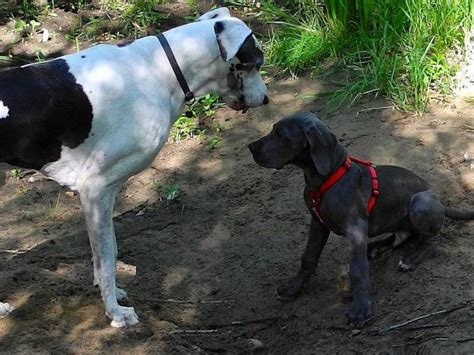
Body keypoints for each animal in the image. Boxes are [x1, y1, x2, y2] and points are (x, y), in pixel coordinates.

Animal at [0, 6, 266, 328]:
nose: (267, 98)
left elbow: (107, 251)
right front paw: (115, 312)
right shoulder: (96, 189)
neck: (158, 69)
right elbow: (107, 260)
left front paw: (113, 294)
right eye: (256, 63)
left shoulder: (105, 194)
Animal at [250, 111, 472, 328]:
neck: (326, 179)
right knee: (402, 237)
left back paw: (410, 259)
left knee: (431, 239)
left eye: (280, 134)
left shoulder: (356, 228)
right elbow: (308, 257)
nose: (251, 147)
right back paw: (374, 247)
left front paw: (360, 309)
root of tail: (440, 202)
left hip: (420, 203)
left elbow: (357, 269)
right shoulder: (318, 223)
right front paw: (293, 287)